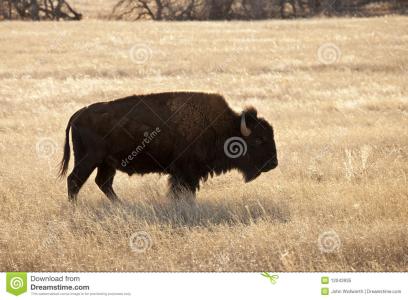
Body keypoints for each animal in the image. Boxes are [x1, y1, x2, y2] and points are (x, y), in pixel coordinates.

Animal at [59, 91, 278, 202]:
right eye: (259, 139)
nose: (274, 163)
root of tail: (78, 114)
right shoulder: (185, 173)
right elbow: (183, 193)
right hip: (89, 159)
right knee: (74, 181)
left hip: (106, 163)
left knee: (103, 183)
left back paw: (120, 206)